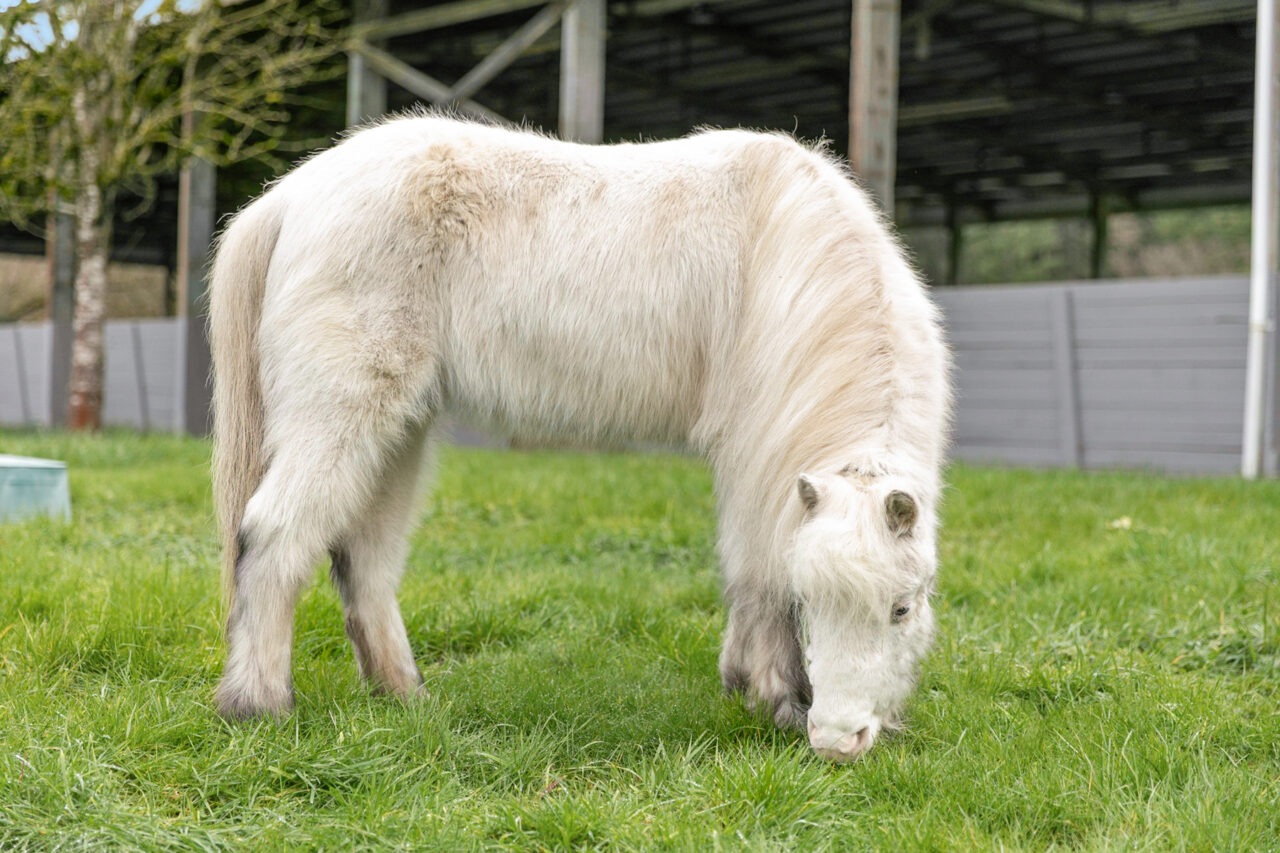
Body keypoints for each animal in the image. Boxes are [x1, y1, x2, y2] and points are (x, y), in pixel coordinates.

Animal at [208, 113, 951, 762]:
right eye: (811, 602)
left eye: (901, 608)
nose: (839, 741)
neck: (782, 246)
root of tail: (292, 196)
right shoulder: (751, 453)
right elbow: (757, 569)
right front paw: (774, 698)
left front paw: (747, 684)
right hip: (340, 414)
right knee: (273, 536)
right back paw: (259, 705)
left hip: (400, 430)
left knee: (364, 561)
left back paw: (405, 696)